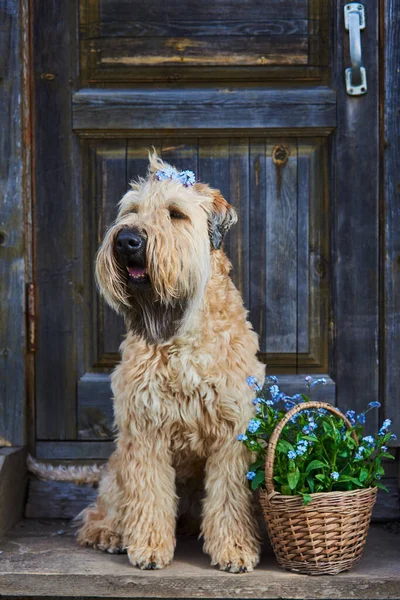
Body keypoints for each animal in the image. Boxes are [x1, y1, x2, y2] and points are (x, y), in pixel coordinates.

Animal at [76, 152, 264, 576]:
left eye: (176, 214)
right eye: (131, 210)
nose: (127, 240)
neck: (180, 331)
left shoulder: (232, 434)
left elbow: (228, 499)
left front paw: (233, 550)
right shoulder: (145, 429)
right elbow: (149, 493)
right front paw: (148, 547)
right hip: (117, 464)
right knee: (101, 509)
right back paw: (109, 534)